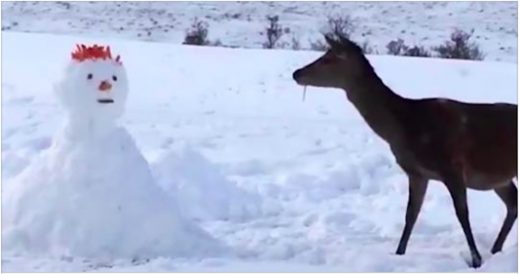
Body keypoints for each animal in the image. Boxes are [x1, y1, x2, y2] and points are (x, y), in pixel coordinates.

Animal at [292, 34, 516, 268]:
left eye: (328, 59)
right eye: (324, 55)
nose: (296, 73)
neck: (407, 128)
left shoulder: (452, 166)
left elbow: (462, 213)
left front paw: (476, 260)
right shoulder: (417, 173)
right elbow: (411, 214)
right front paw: (398, 253)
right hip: (500, 177)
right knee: (513, 202)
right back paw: (496, 248)